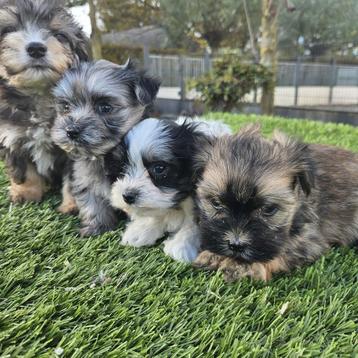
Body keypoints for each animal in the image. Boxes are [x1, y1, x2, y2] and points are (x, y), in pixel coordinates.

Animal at [0, 0, 89, 203]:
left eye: (59, 35)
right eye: (8, 30)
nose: (36, 48)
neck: (39, 94)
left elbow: (75, 179)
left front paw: (72, 205)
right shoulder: (12, 138)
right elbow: (23, 169)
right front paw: (26, 193)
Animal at [52, 59, 161, 236]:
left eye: (105, 107)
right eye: (66, 107)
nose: (71, 131)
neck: (106, 156)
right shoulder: (84, 178)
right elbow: (92, 204)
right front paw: (95, 227)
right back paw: (68, 206)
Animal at [110, 119, 231, 262]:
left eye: (159, 168)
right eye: (123, 167)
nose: (127, 196)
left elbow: (194, 221)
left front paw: (182, 244)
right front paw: (142, 230)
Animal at [194, 126, 356, 282]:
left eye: (268, 209)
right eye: (216, 203)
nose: (236, 245)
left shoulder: (310, 238)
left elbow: (284, 248)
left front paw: (241, 266)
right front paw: (214, 255)